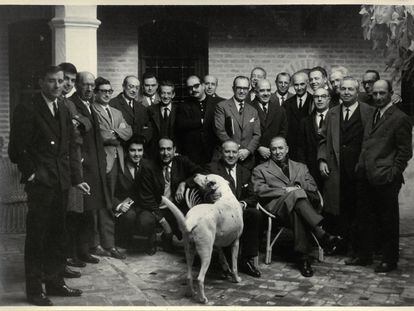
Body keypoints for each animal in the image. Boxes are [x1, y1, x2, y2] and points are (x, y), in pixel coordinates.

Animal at [161, 174, 244, 304]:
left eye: (206, 178)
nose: (195, 175)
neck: (224, 194)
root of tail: (193, 219)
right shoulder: (236, 242)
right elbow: (235, 265)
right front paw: (236, 278)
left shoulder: (217, 243)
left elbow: (222, 255)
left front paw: (225, 267)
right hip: (206, 253)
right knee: (200, 278)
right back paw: (203, 299)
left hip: (189, 250)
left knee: (189, 275)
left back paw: (190, 293)